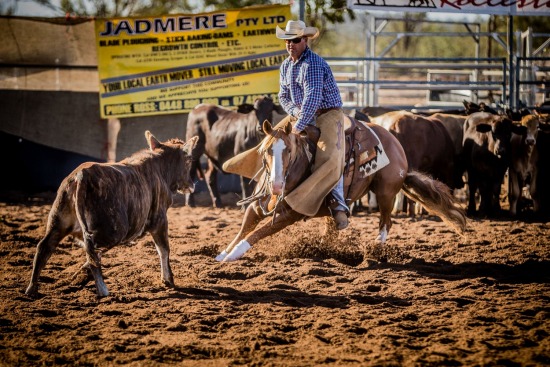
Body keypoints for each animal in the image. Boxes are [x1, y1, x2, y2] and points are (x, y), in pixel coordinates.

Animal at [218, 118, 468, 262]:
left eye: (288, 150)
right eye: (266, 150)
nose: (276, 185)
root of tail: (396, 144)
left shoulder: (290, 214)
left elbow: (257, 233)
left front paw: (234, 255)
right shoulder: (257, 206)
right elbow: (245, 228)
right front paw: (223, 253)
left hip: (385, 192)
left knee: (386, 222)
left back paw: (375, 248)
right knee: (334, 226)